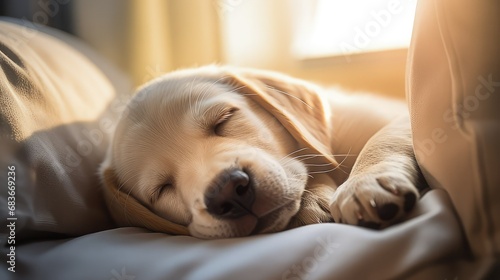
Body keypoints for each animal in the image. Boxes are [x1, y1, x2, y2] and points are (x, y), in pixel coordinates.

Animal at [99, 65, 424, 238]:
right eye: (162, 188)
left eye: (224, 120)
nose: (228, 192)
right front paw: (315, 197)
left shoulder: (398, 116)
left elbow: (381, 139)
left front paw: (363, 184)